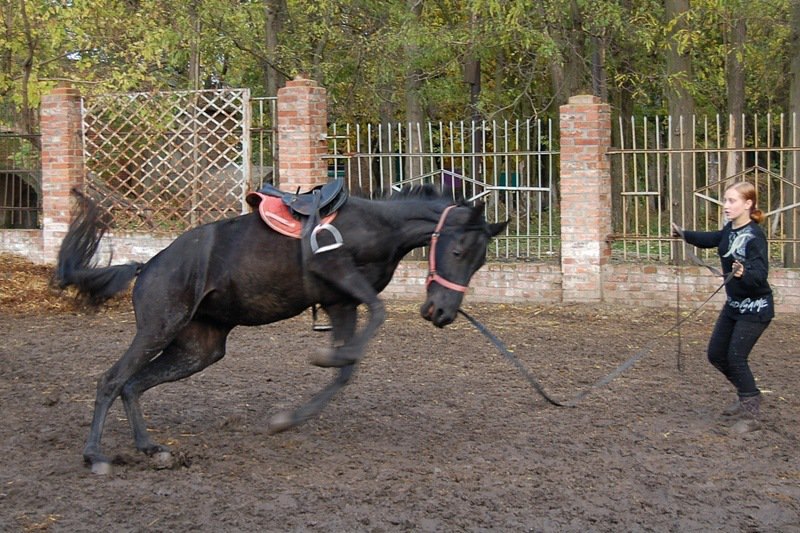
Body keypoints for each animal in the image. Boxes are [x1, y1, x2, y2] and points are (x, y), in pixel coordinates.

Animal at [54, 185, 506, 472]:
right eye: (457, 251)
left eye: (480, 261)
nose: (442, 312)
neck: (379, 225)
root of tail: (146, 265)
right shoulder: (335, 272)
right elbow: (378, 314)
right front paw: (325, 356)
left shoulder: (340, 302)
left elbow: (346, 371)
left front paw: (289, 416)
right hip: (159, 328)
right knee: (112, 380)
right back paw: (94, 456)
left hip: (199, 348)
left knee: (134, 385)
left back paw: (151, 448)